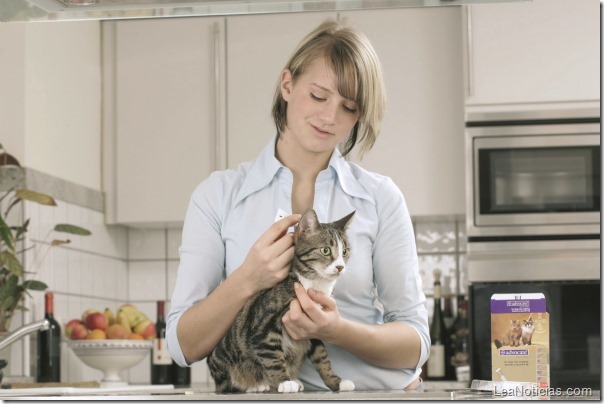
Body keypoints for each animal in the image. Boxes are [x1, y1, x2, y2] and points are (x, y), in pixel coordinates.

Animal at [209, 210, 358, 392]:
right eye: (325, 250)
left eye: (345, 252)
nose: (340, 267)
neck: (314, 283)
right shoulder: (264, 326)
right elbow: (271, 355)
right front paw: (284, 381)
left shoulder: (314, 329)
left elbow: (322, 357)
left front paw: (336, 382)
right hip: (223, 360)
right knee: (227, 385)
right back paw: (255, 385)